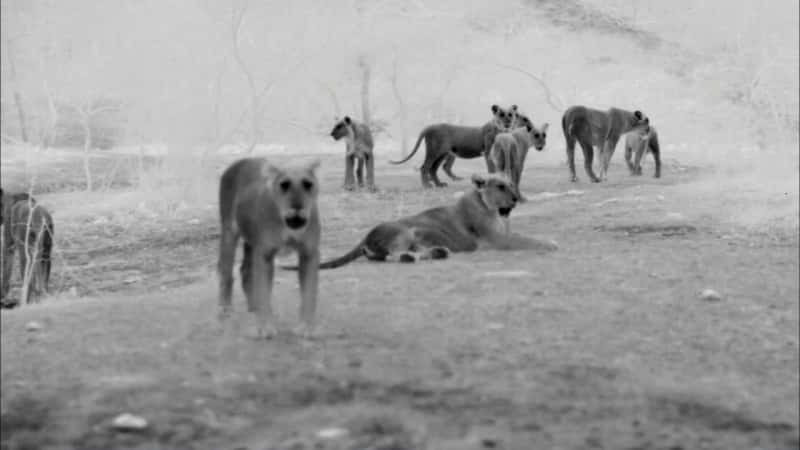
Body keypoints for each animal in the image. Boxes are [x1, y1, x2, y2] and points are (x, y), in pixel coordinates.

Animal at [284, 173, 560, 270]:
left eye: (511, 183)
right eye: (500, 186)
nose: (515, 198)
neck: (495, 211)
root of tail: (365, 236)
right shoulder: (499, 241)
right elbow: (529, 239)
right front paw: (552, 244)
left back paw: (438, 252)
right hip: (405, 231)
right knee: (392, 256)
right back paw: (411, 257)